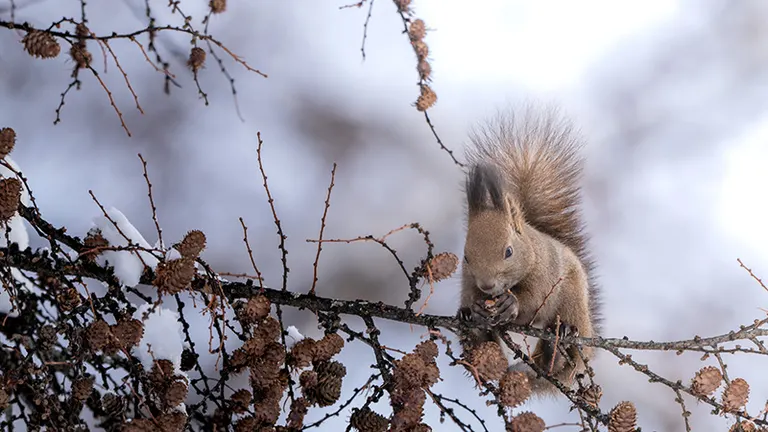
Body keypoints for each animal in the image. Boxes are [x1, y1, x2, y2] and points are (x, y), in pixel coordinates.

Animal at [456, 104, 600, 394]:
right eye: (465, 256)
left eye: (508, 252)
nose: (487, 286)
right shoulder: (467, 282)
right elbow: (470, 296)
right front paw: (474, 310)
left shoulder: (544, 275)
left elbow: (533, 299)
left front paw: (511, 304)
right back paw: (473, 328)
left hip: (574, 299)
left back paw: (563, 339)